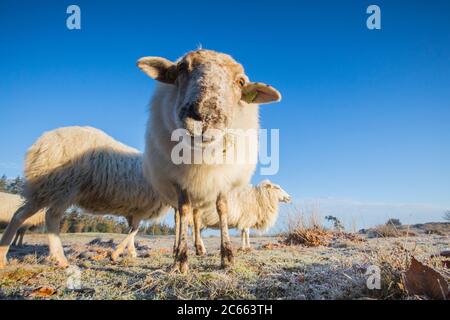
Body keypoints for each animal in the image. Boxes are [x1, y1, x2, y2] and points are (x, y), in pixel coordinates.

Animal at [0, 125, 171, 268]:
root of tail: (43, 143)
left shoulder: (134, 211)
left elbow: (132, 231)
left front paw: (131, 252)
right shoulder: (141, 209)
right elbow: (134, 231)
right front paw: (116, 254)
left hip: (44, 188)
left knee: (19, 215)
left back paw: (3, 256)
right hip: (64, 186)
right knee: (51, 217)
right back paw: (60, 259)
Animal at [141, 48, 282, 272]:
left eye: (240, 82)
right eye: (182, 67)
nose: (206, 118)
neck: (203, 155)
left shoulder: (222, 178)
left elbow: (222, 208)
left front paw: (227, 256)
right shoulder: (179, 181)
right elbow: (184, 211)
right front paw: (181, 259)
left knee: (197, 219)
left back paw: (200, 248)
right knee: (180, 217)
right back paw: (176, 248)